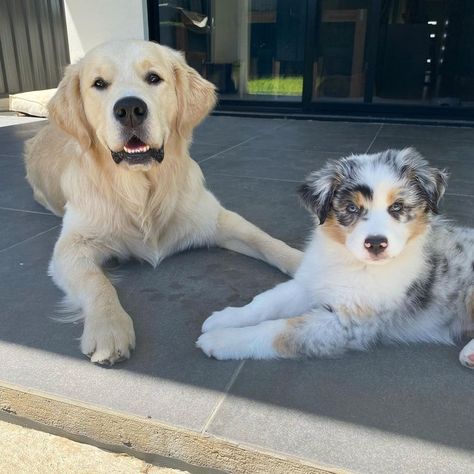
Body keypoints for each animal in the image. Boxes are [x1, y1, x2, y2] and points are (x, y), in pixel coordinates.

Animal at [196, 147, 474, 366]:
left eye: (397, 207)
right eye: (351, 208)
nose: (376, 244)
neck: (351, 262)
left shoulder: (349, 323)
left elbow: (278, 330)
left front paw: (221, 340)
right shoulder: (309, 282)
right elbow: (265, 302)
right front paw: (225, 318)